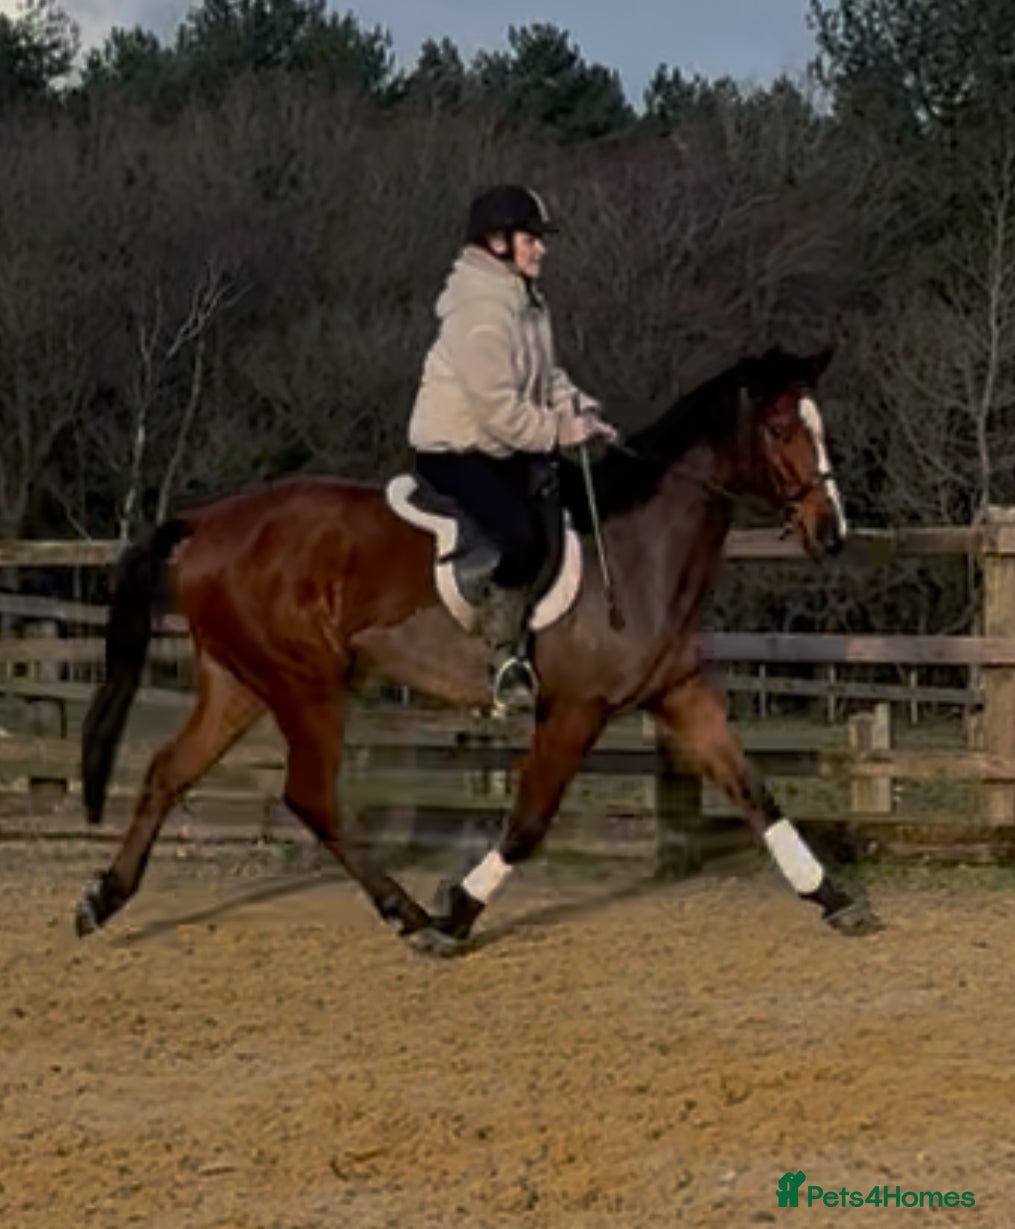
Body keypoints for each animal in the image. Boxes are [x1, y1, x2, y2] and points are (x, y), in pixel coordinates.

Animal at [74, 344, 881, 953]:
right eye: (778, 427)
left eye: (819, 425)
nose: (830, 530)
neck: (638, 543)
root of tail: (208, 520)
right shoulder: (574, 708)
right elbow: (527, 820)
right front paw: (455, 910)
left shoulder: (679, 693)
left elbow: (754, 792)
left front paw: (835, 897)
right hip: (306, 685)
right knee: (309, 795)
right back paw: (404, 912)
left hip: (240, 682)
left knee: (169, 771)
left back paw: (104, 899)